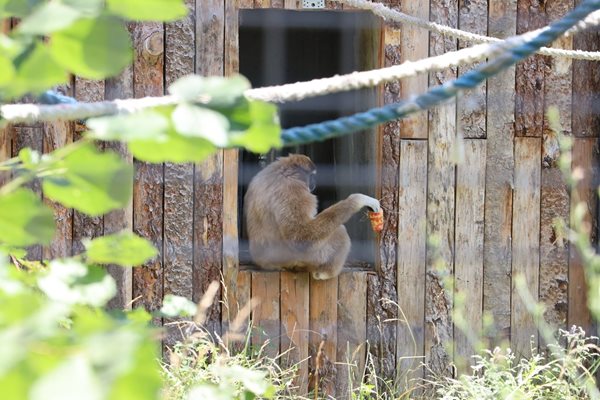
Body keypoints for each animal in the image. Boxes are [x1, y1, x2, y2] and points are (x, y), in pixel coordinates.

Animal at [244, 154, 380, 282]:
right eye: (312, 176)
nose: (314, 183)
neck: (281, 170)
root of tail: (264, 262)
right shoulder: (292, 188)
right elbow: (299, 238)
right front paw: (357, 200)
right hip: (303, 257)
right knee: (340, 232)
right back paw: (324, 273)